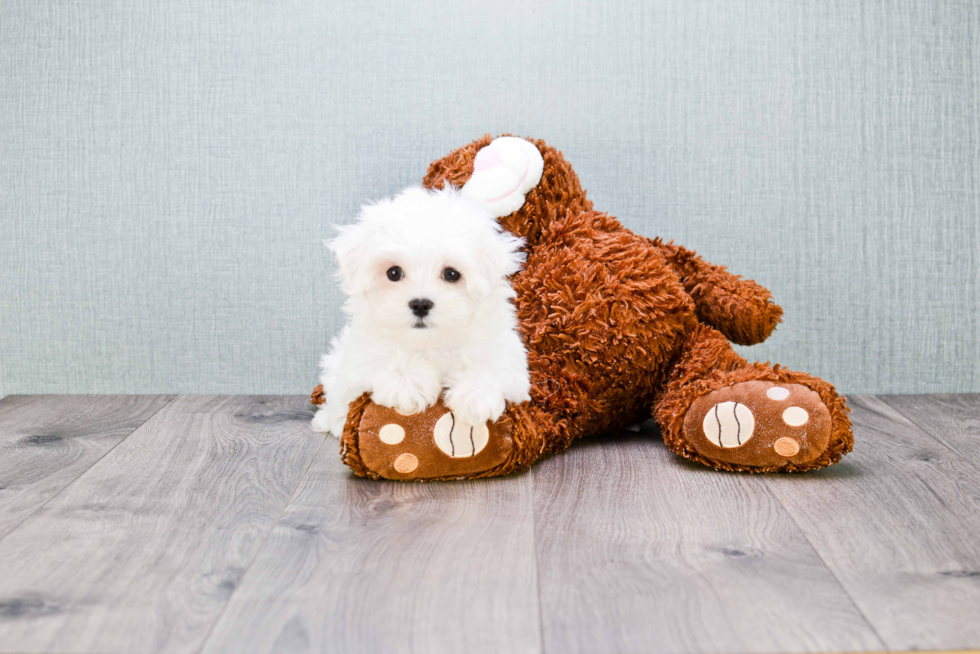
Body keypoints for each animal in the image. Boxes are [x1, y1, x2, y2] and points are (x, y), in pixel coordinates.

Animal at [312, 186, 528, 440]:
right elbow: (386, 355)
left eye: (451, 274)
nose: (421, 304)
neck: (430, 342)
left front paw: (475, 396)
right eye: (393, 272)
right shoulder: (362, 352)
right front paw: (408, 382)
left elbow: (489, 364)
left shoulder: (507, 357)